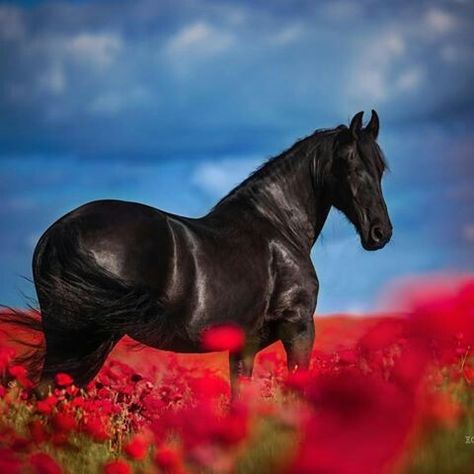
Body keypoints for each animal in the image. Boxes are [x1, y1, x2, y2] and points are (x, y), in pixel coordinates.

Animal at [15, 109, 392, 394]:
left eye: (380, 169)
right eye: (351, 165)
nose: (381, 232)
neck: (278, 227)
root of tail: (60, 232)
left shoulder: (243, 347)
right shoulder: (298, 328)